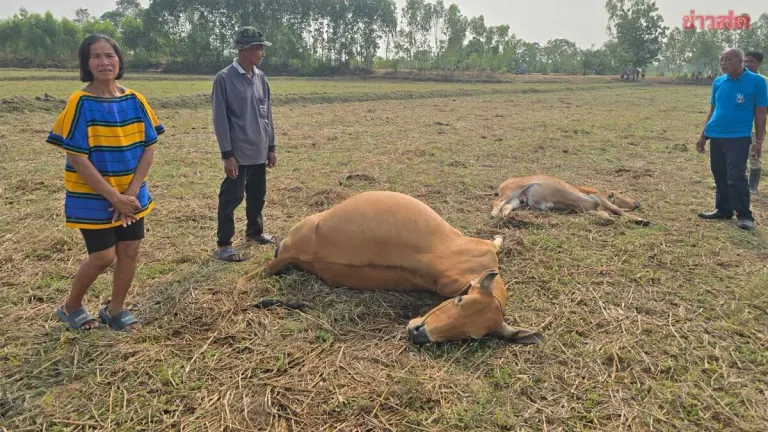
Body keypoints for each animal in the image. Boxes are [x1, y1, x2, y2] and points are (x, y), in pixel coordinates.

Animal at [490, 174, 649, 225]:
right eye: (621, 194)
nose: (638, 203)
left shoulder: (588, 210)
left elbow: (606, 215)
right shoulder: (596, 196)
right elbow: (616, 210)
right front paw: (642, 220)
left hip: (518, 200)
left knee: (506, 206)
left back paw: (504, 216)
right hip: (511, 191)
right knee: (497, 202)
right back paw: (494, 213)